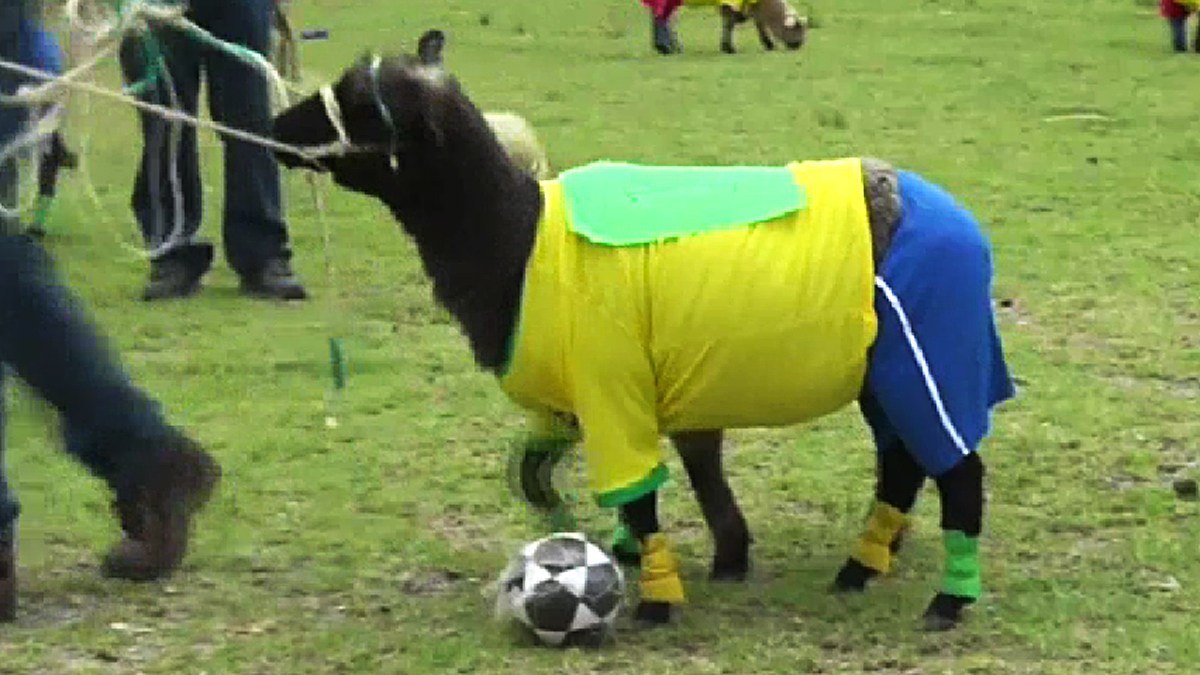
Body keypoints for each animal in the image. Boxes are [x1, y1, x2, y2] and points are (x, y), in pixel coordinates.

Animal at [271, 30, 1015, 632]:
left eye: (361, 103)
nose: (277, 122)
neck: (519, 240)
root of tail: (964, 226)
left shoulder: (612, 387)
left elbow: (642, 493)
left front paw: (656, 599)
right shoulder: (602, 399)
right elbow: (604, 479)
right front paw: (689, 553)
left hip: (931, 355)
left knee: (957, 471)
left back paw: (947, 601)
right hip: (886, 373)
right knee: (902, 463)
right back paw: (862, 567)